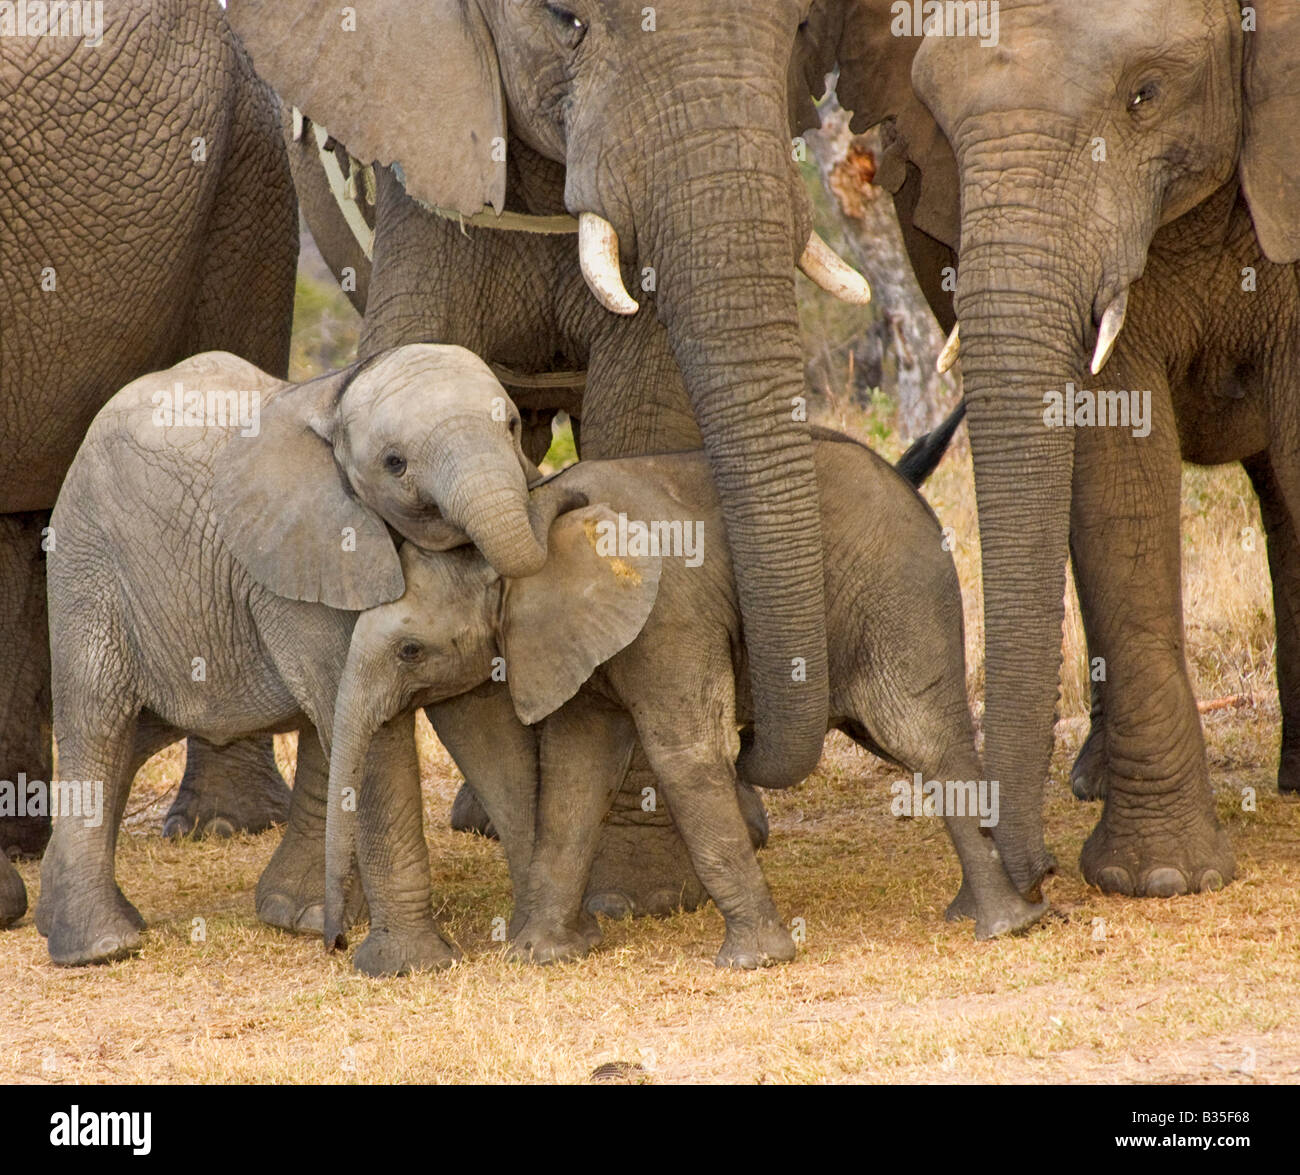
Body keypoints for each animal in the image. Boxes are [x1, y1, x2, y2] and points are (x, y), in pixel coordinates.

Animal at [36, 344, 546, 965]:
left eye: (514, 426)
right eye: (395, 463)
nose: (335, 943)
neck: (337, 397)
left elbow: (477, 717)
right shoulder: (307, 554)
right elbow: (377, 736)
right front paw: (413, 965)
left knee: (137, 736)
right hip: (88, 565)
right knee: (98, 724)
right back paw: (100, 946)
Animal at [225, 0, 890, 915]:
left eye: (799, 28)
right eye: (567, 20)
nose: (750, 734)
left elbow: (642, 417)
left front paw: (640, 887)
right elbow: (402, 361)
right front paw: (308, 910)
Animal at [321, 430, 1047, 976]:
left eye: (410, 650)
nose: (334, 942)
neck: (530, 519)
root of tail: (912, 494)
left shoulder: (669, 613)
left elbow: (686, 755)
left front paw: (755, 962)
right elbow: (576, 771)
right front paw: (540, 957)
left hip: (898, 591)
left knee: (922, 736)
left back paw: (1001, 926)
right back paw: (1009, 909)